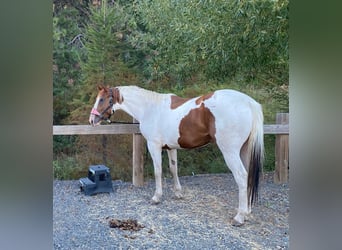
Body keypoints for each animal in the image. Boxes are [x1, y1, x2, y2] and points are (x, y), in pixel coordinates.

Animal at [89, 85, 264, 226]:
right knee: (248, 177)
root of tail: (249, 103)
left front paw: (157, 197)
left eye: (102, 99)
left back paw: (239, 217)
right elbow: (174, 169)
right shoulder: (171, 148)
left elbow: (158, 171)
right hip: (244, 150)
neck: (150, 109)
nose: (92, 120)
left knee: (241, 176)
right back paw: (247, 211)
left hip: (230, 151)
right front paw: (178, 193)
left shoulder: (154, 146)